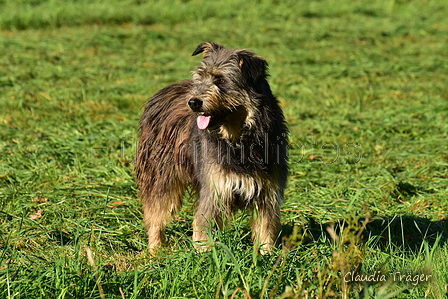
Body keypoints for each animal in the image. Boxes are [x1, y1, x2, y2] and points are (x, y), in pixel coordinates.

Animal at [134, 42, 288, 254]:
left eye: (221, 80)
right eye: (199, 77)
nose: (193, 102)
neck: (239, 140)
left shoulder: (268, 193)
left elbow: (266, 229)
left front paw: (267, 255)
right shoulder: (213, 191)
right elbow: (203, 229)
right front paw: (204, 256)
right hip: (162, 175)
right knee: (156, 212)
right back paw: (155, 250)